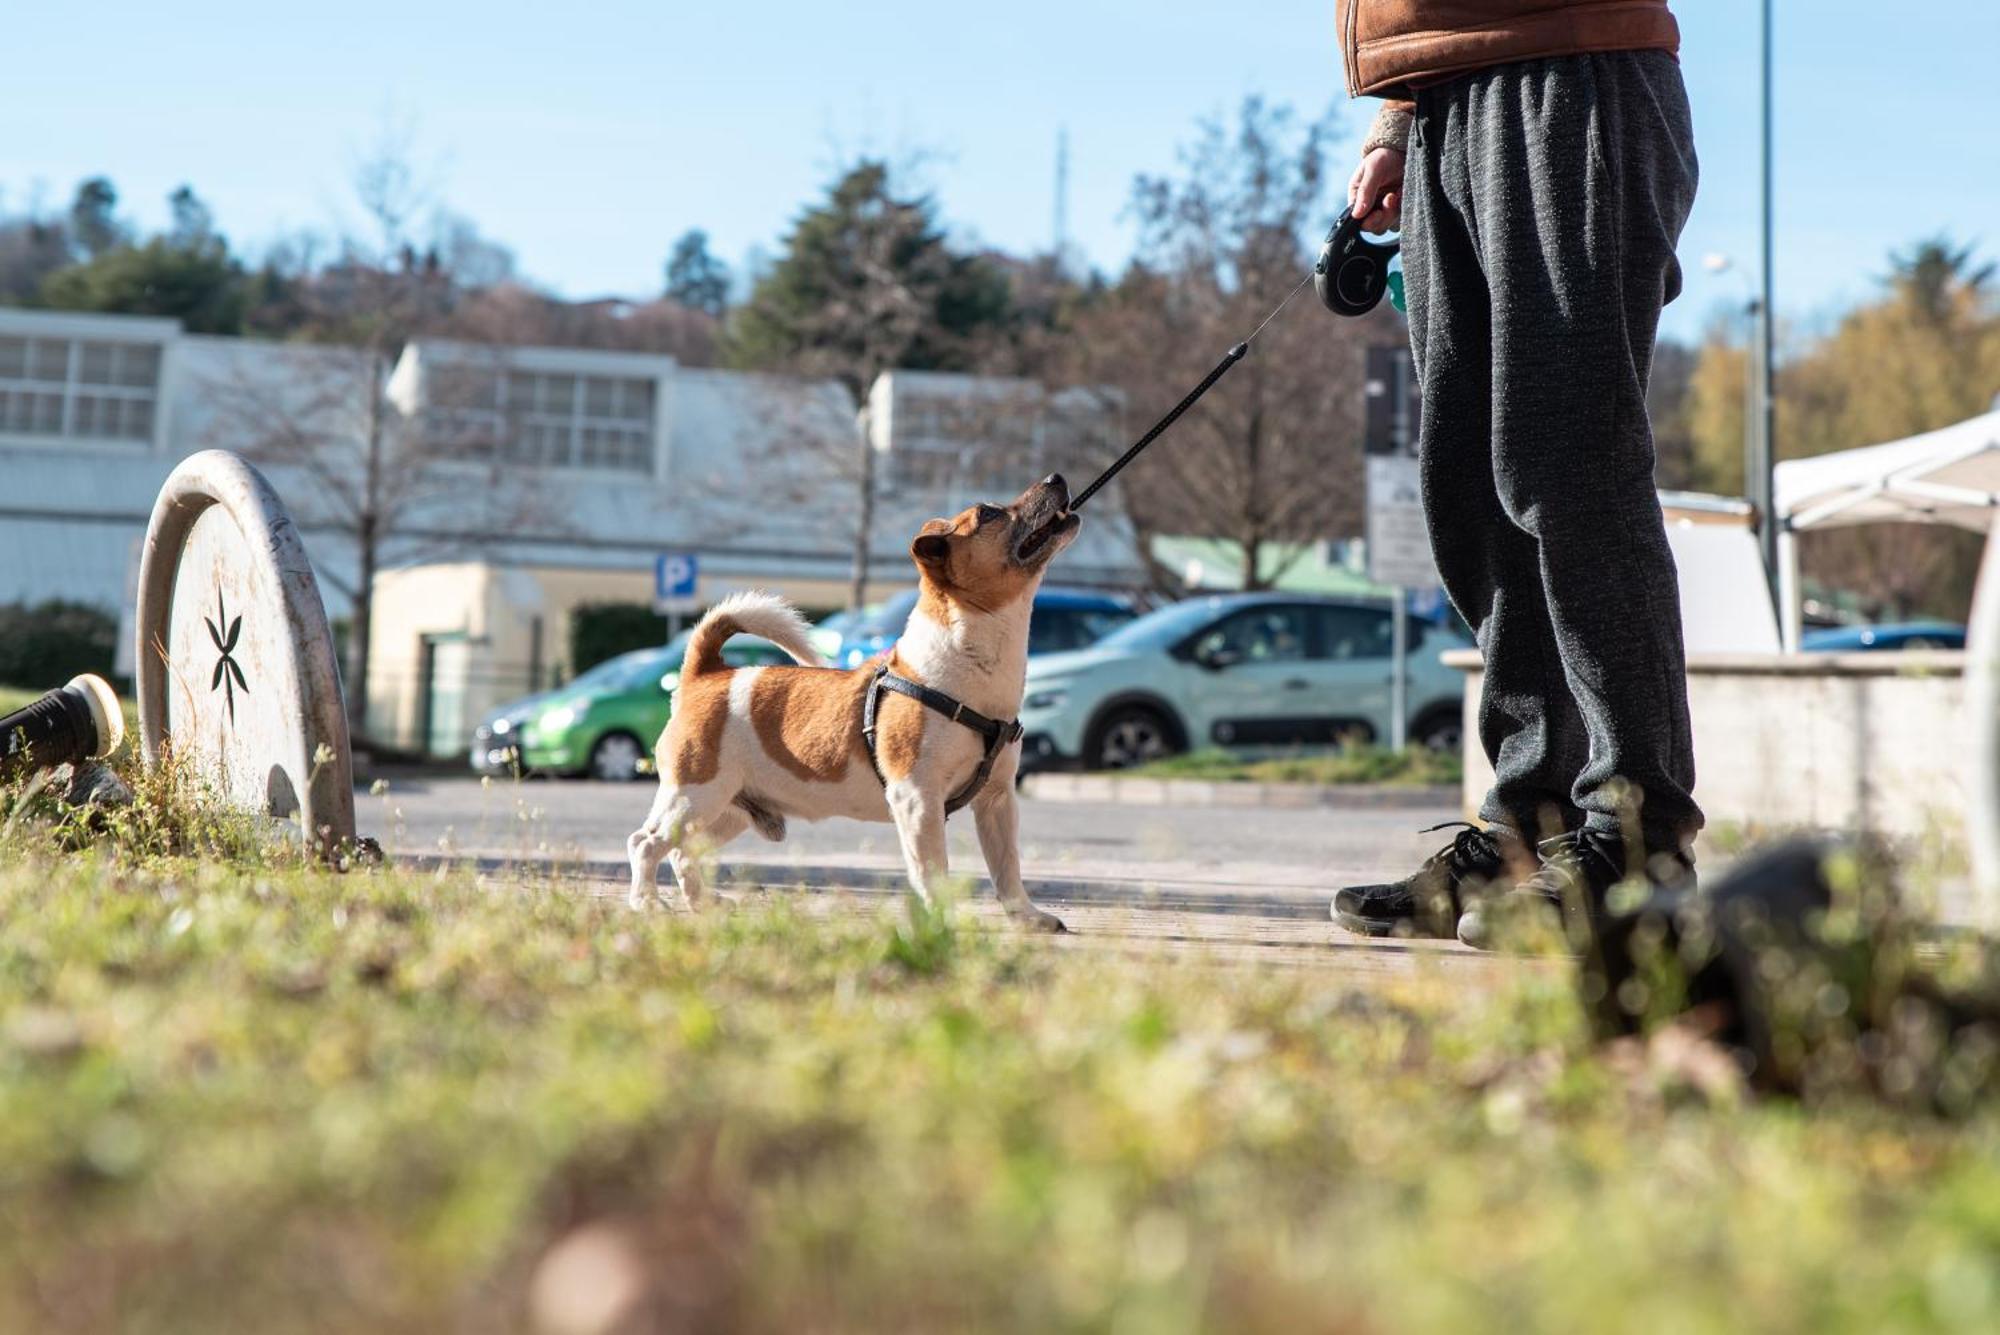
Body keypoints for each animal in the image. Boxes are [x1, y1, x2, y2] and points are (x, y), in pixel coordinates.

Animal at [632, 477, 1088, 927]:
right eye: (988, 513)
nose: (1055, 478)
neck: (970, 662)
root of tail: (706, 675)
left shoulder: (997, 802)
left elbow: (1006, 866)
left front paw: (1026, 915)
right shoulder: (917, 798)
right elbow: (931, 868)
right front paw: (941, 918)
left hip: (731, 810)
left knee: (682, 851)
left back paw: (702, 903)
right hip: (694, 797)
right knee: (645, 843)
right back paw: (647, 902)